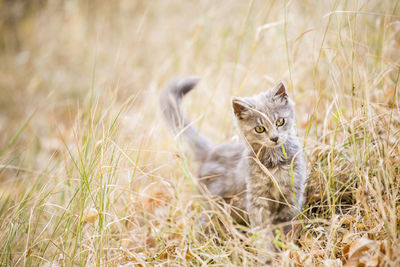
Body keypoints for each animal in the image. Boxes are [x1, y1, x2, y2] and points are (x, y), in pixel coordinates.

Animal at [159, 77, 306, 239]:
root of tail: (213, 150)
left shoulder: (292, 194)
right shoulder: (256, 199)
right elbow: (262, 230)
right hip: (212, 205)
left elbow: (287, 224)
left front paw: (287, 241)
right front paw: (266, 245)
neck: (274, 162)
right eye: (260, 129)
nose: (275, 138)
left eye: (280, 121)